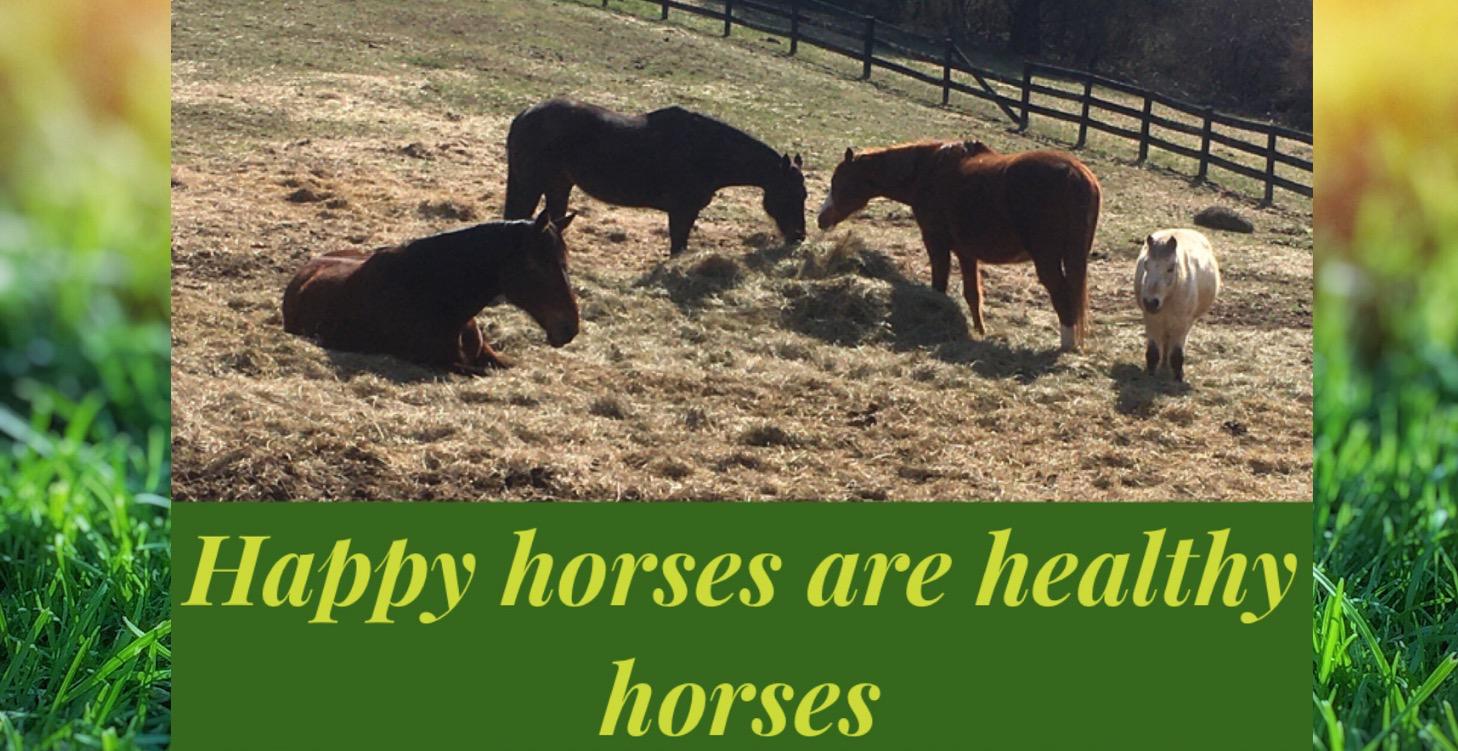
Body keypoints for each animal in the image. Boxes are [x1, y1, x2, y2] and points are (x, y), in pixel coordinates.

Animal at [504, 98, 806, 256]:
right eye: (791, 194)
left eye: (804, 195)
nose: (799, 236)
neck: (707, 150)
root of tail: (526, 114)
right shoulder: (682, 211)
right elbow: (678, 246)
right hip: (532, 184)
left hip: (558, 185)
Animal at [816, 140, 1101, 352]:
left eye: (839, 181)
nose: (821, 218)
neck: (928, 171)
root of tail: (1076, 174)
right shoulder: (966, 253)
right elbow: (973, 294)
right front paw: (980, 332)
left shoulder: (936, 242)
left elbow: (939, 288)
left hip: (1047, 260)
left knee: (1063, 297)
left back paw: (1066, 346)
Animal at [1134, 228, 1221, 382]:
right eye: (1146, 265)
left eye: (1170, 268)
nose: (1151, 302)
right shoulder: (1152, 320)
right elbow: (1153, 352)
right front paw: (1151, 374)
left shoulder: (1181, 324)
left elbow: (1176, 355)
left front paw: (1177, 378)